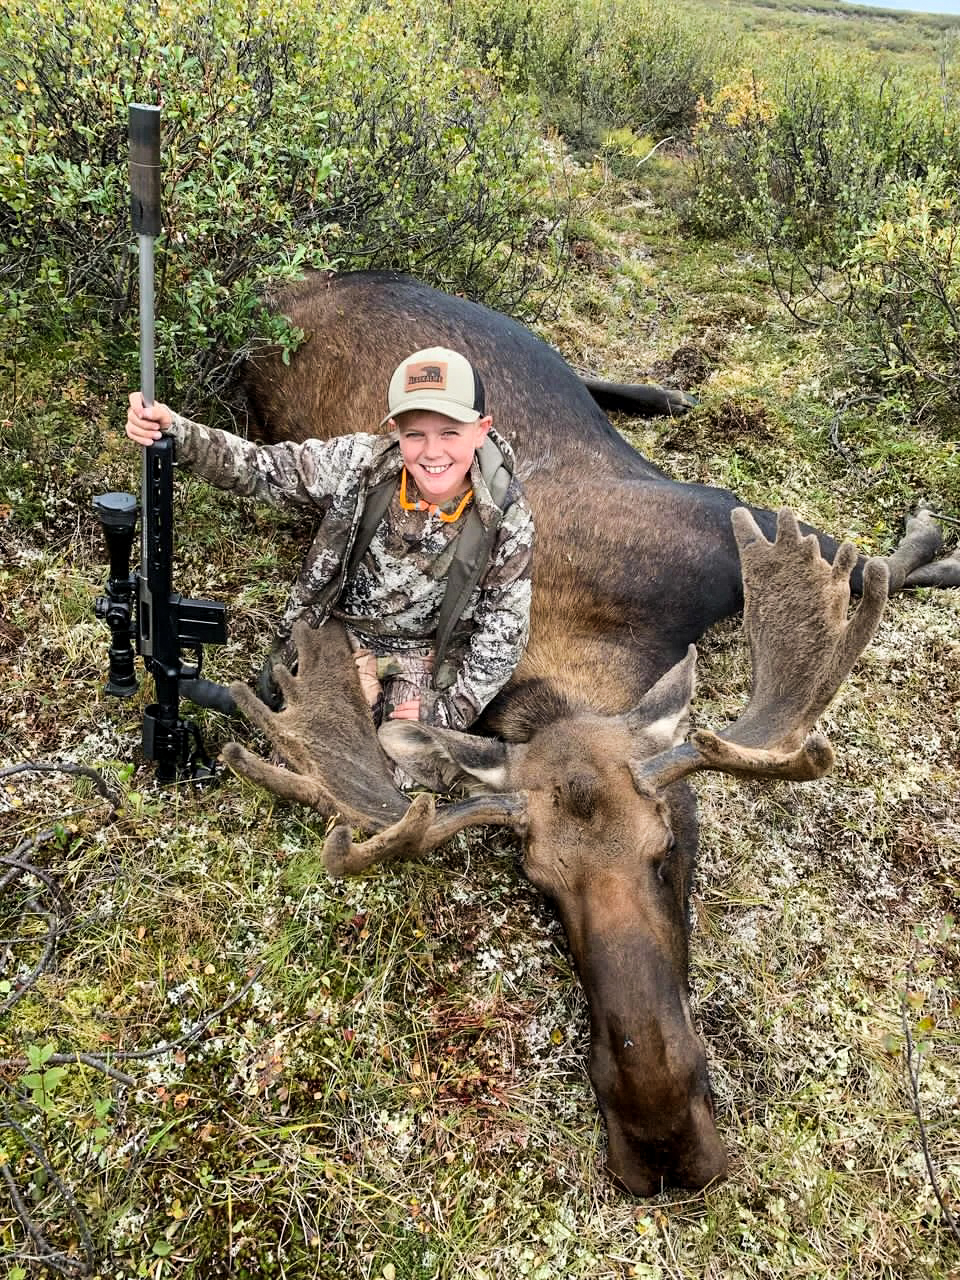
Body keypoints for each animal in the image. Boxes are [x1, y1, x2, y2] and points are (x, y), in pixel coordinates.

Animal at [213, 270, 957, 1198]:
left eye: (672, 847)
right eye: (540, 887)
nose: (662, 1138)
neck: (588, 637)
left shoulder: (733, 516)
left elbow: (882, 563)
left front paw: (931, 536)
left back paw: (666, 392)